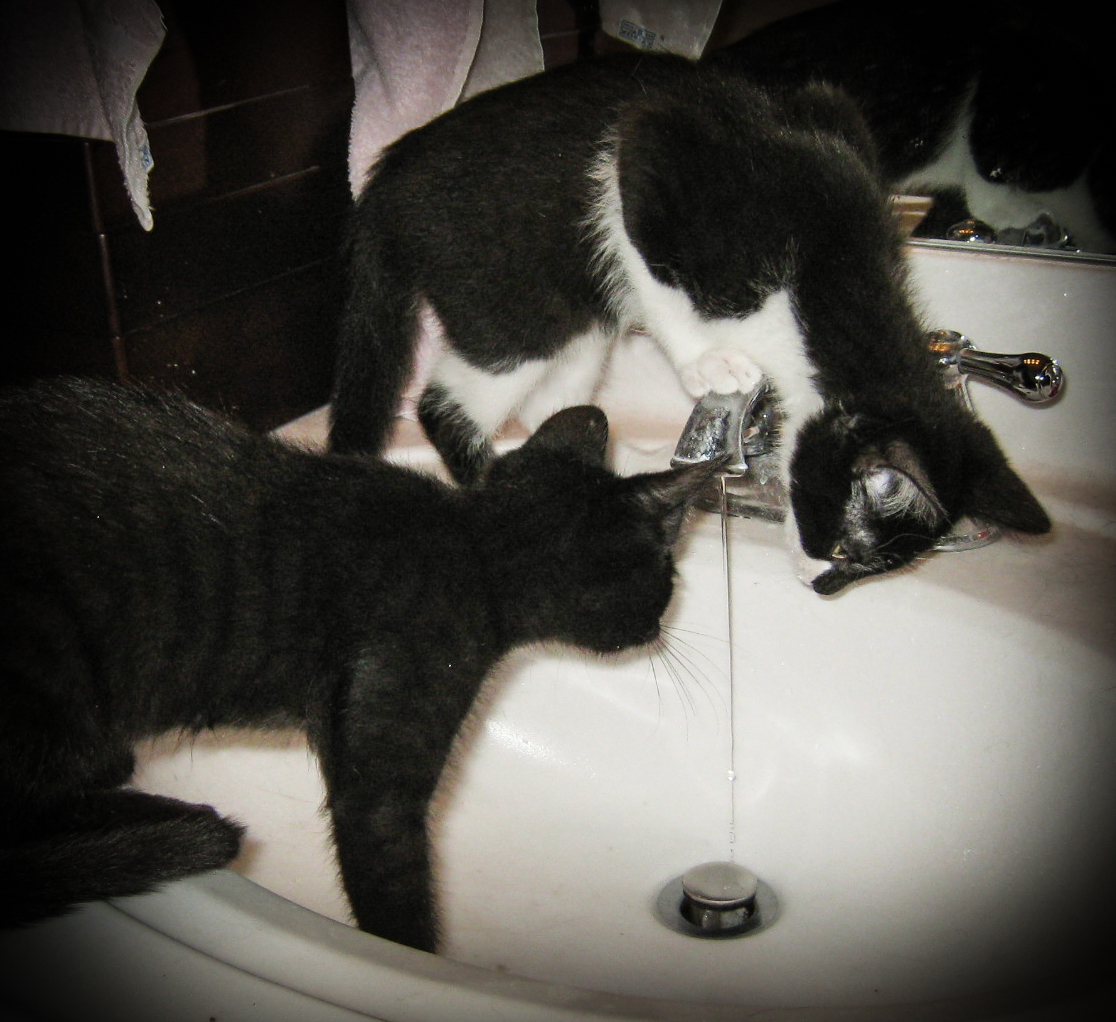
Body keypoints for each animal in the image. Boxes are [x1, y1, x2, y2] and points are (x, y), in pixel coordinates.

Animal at [0, 377, 714, 950]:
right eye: (670, 577)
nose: (661, 625)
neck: (475, 546)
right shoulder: (389, 751)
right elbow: (390, 875)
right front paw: (419, 962)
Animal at [332, 51, 1053, 593]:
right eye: (853, 554)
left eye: (870, 569)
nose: (822, 587)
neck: (825, 282)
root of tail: (386, 183)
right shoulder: (654, 157)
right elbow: (647, 258)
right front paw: (707, 362)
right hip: (511, 294)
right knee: (450, 397)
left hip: (572, 322)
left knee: (566, 384)